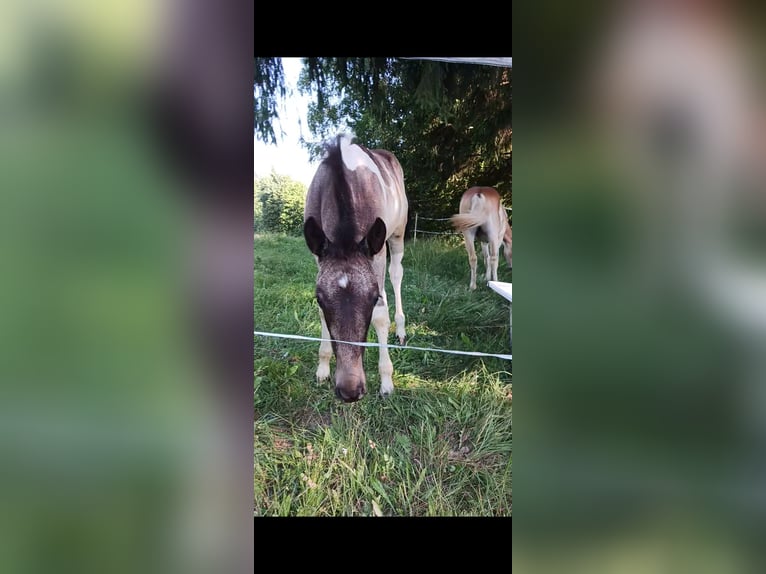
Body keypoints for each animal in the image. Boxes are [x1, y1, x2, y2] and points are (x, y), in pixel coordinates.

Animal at [303, 135, 409, 402]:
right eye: (319, 299)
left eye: (371, 298)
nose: (350, 391)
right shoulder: (318, 255)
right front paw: (322, 367)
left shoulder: (377, 251)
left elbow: (381, 314)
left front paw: (386, 381)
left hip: (397, 233)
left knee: (396, 274)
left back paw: (401, 330)